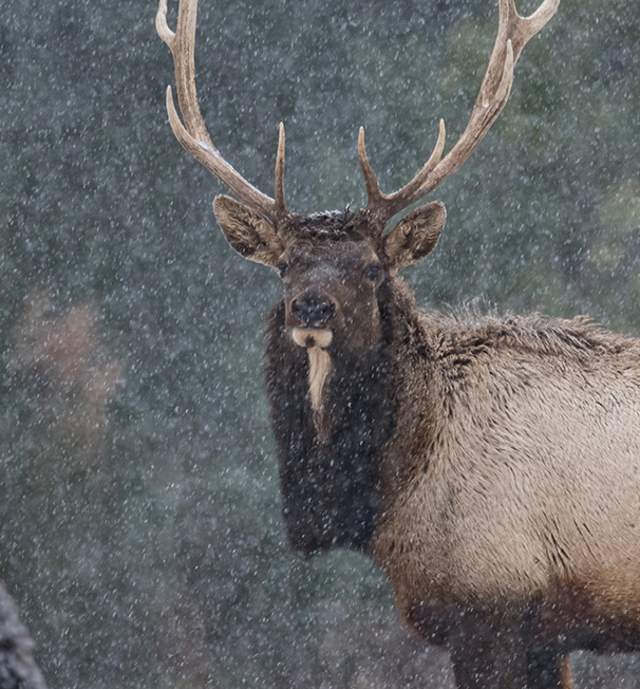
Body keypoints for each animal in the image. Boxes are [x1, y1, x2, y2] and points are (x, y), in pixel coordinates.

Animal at [156, 0, 640, 687]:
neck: (400, 485)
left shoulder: (493, 606)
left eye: (371, 269)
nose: (311, 306)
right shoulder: (545, 634)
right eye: (286, 267)